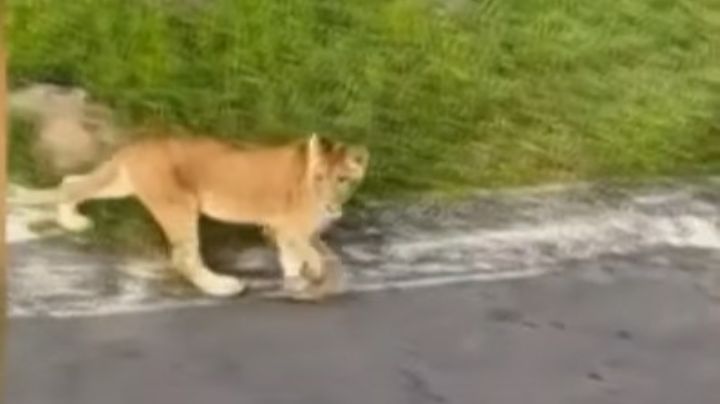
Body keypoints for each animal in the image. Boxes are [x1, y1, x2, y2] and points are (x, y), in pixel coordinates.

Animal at [12, 132, 369, 298]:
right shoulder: (287, 229)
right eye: (319, 178)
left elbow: (299, 258)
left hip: (121, 183)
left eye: (342, 179)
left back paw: (72, 219)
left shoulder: (287, 233)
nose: (330, 205)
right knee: (184, 258)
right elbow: (318, 256)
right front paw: (318, 279)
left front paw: (298, 282)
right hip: (178, 205)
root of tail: (136, 146)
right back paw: (222, 287)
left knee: (71, 182)